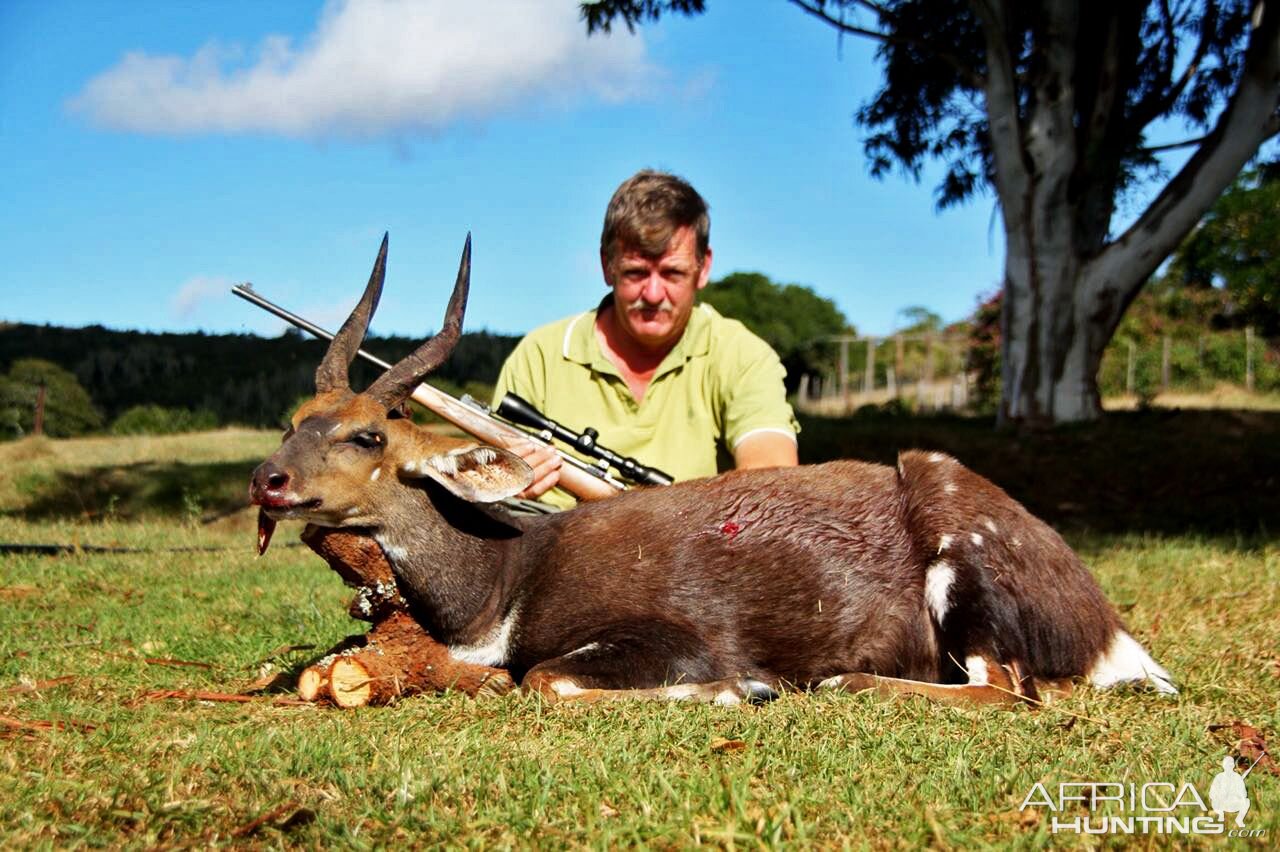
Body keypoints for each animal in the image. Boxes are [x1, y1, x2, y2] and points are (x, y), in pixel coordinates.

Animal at [244, 234, 1172, 701]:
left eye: (370, 435)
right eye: (292, 421)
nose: (268, 481)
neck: (504, 581)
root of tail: (1107, 629)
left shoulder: (668, 639)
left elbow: (542, 679)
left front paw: (740, 691)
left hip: (962, 568)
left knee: (1009, 691)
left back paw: (836, 680)